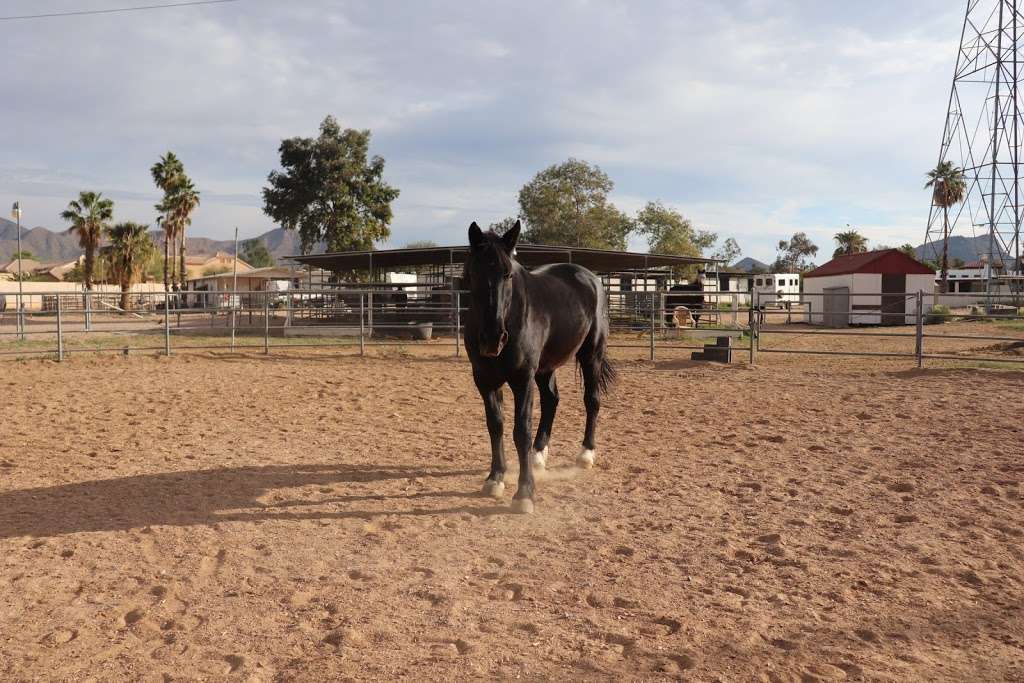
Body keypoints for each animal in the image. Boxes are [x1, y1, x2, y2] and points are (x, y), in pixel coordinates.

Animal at [464, 220, 614, 511]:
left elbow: (521, 430)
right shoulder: (484, 380)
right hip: (545, 368)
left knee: (592, 400)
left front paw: (524, 492)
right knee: (551, 400)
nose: (493, 338)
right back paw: (538, 455)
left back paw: (586, 454)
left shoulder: (522, 379)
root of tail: (590, 278)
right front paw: (495, 478)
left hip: (591, 355)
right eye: (473, 273)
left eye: (508, 274)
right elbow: (495, 425)